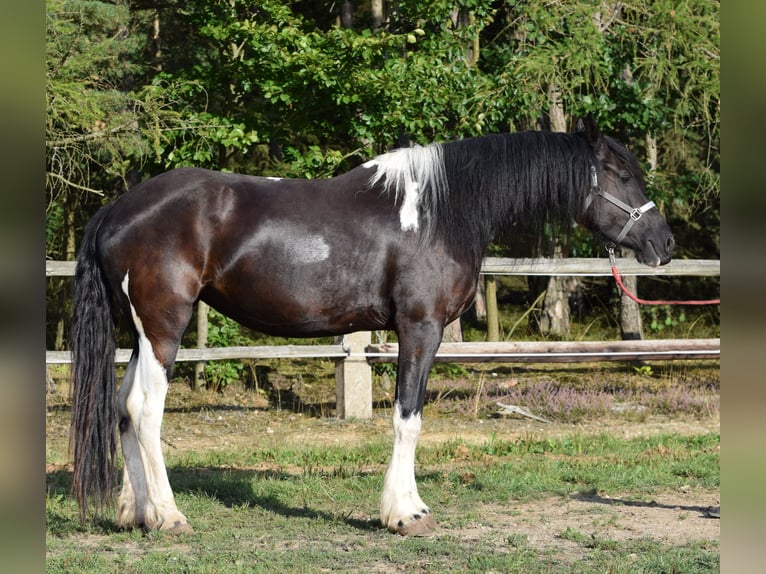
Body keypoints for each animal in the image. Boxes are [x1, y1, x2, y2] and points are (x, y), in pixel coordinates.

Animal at [69, 115, 676, 536]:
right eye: (622, 174)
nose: (665, 244)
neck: (439, 212)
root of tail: (118, 210)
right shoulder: (420, 329)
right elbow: (408, 419)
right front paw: (406, 514)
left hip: (140, 335)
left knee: (122, 410)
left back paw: (136, 513)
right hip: (164, 329)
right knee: (145, 411)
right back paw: (169, 517)